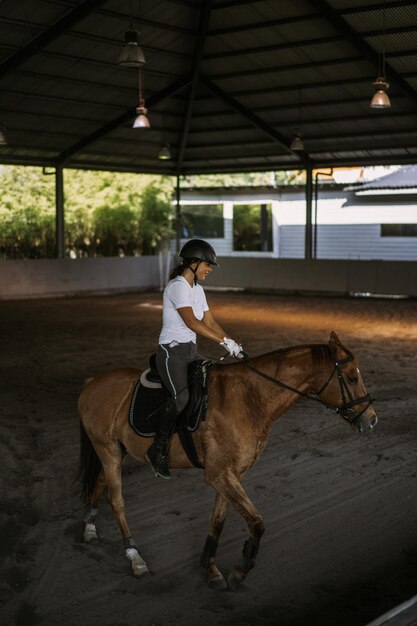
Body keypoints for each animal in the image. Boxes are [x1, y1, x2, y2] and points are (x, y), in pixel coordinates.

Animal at [76, 330, 376, 588]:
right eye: (352, 378)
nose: (372, 420)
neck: (250, 398)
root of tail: (92, 383)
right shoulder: (219, 474)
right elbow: (257, 522)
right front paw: (241, 569)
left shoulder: (231, 474)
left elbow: (217, 521)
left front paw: (210, 569)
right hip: (107, 449)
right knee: (117, 501)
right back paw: (135, 557)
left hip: (116, 450)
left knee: (100, 482)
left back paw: (89, 528)